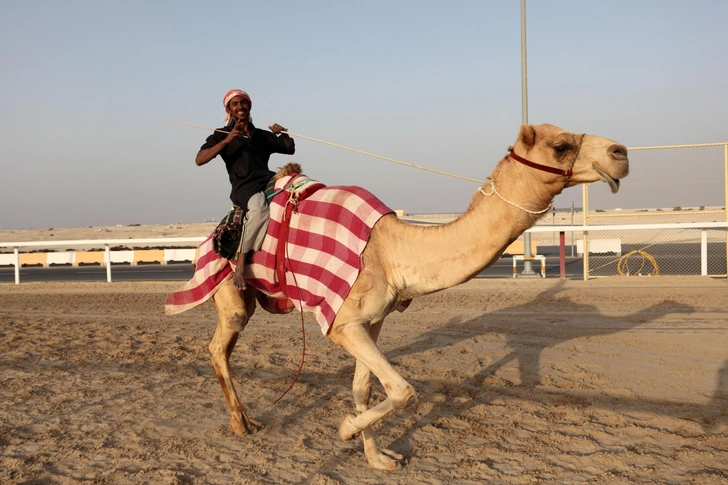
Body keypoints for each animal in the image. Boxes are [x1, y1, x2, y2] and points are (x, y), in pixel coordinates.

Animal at [208, 123, 628, 466]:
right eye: (561, 146)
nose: (620, 153)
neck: (392, 249)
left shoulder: (372, 319)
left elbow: (362, 386)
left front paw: (378, 457)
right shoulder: (343, 323)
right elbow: (403, 390)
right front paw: (346, 429)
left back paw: (245, 419)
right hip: (231, 291)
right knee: (218, 345)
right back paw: (241, 423)